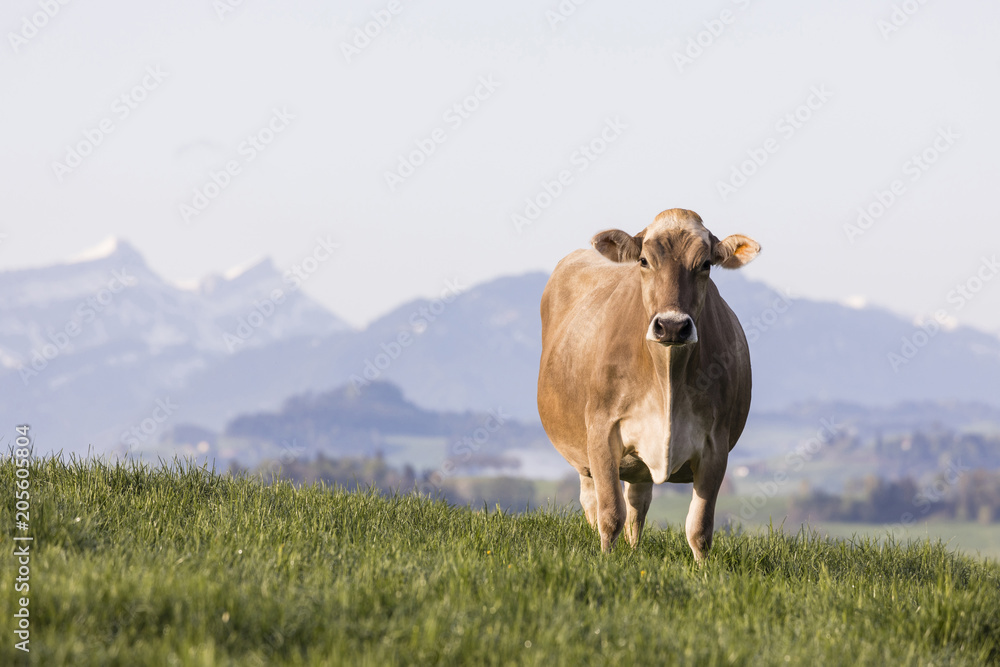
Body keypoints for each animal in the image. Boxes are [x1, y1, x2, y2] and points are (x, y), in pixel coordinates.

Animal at [540, 210, 756, 564]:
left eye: (706, 264)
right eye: (643, 260)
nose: (672, 326)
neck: (666, 377)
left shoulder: (716, 444)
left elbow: (699, 527)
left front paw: (703, 572)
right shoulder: (602, 431)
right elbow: (610, 514)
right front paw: (606, 562)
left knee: (638, 501)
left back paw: (634, 548)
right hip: (583, 451)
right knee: (592, 500)